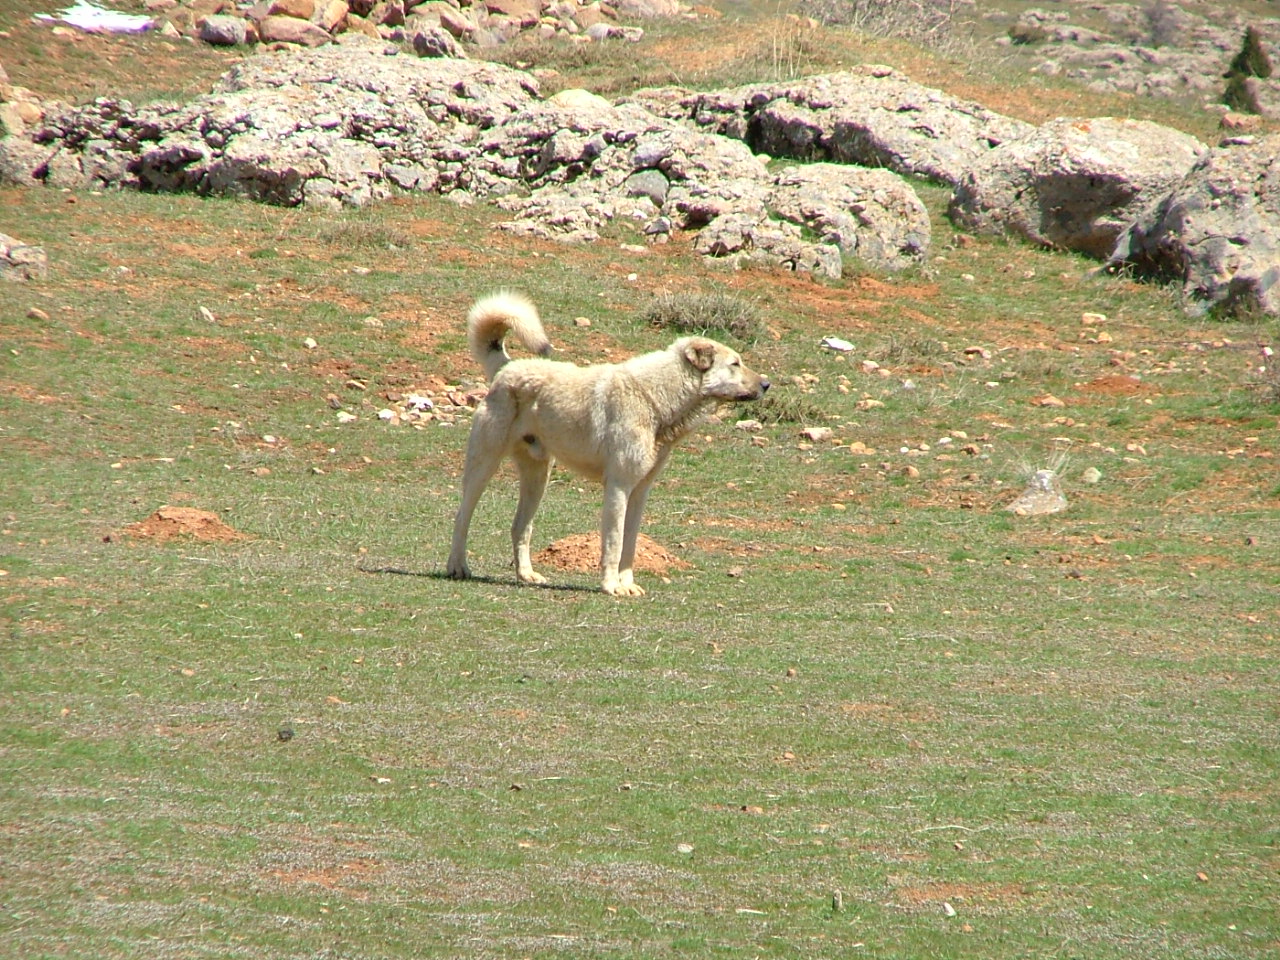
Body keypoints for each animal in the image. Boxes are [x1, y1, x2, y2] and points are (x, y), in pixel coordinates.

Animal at [450, 289, 768, 599]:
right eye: (735, 364)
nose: (767, 384)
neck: (655, 399)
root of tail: (508, 366)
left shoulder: (640, 492)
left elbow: (630, 545)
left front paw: (627, 585)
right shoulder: (618, 486)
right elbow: (614, 543)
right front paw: (611, 586)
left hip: (538, 478)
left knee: (520, 527)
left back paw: (526, 575)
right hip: (484, 467)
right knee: (462, 515)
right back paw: (457, 567)